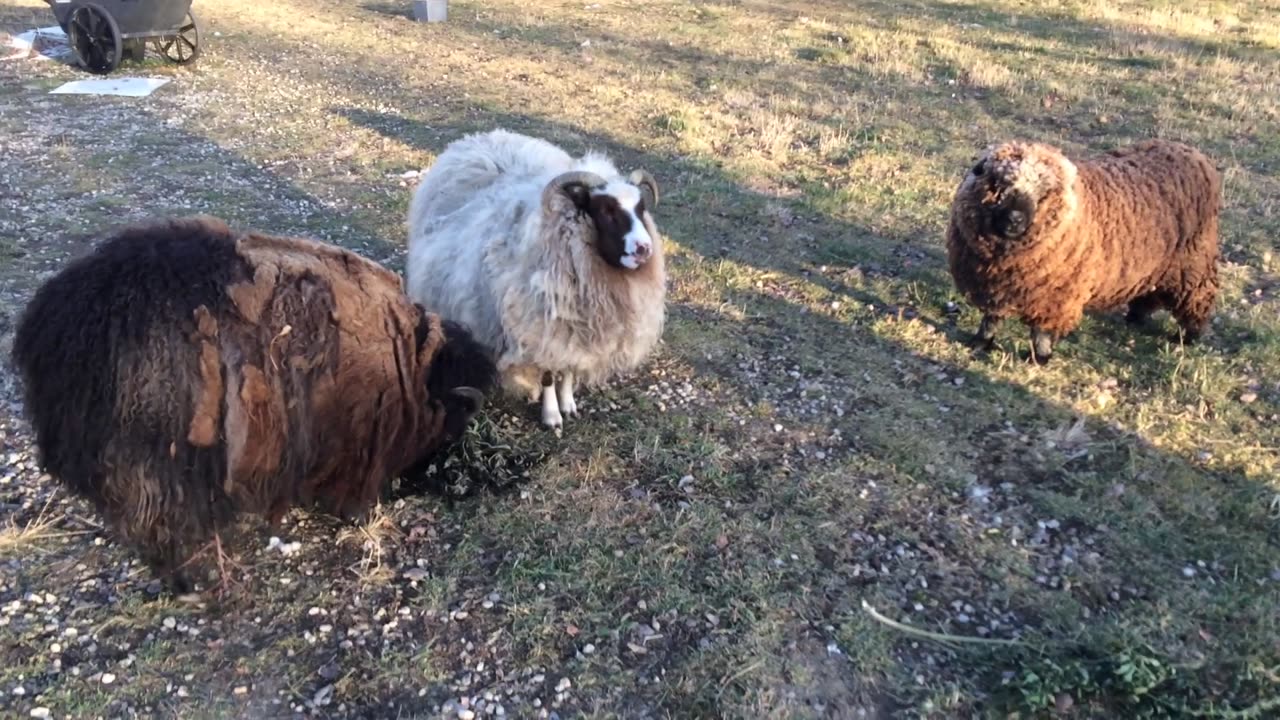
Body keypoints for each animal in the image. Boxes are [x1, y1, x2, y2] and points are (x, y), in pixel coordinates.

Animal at [11, 215, 499, 591]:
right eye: (451, 424)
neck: (411, 362)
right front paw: (357, 515)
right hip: (157, 466)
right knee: (160, 524)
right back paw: (196, 581)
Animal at [407, 128, 670, 425]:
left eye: (640, 208)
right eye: (606, 210)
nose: (644, 249)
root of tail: (478, 137)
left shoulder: (574, 332)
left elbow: (569, 369)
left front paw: (568, 404)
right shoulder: (538, 330)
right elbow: (547, 376)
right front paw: (552, 416)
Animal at [947, 137, 1223, 361]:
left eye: (1044, 193)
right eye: (998, 185)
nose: (1015, 219)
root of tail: (1193, 154)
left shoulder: (1055, 294)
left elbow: (1041, 331)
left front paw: (1040, 357)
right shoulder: (994, 286)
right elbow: (991, 318)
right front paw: (981, 342)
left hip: (1193, 263)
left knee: (1200, 297)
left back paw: (1188, 336)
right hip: (1155, 266)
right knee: (1148, 293)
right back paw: (1135, 318)